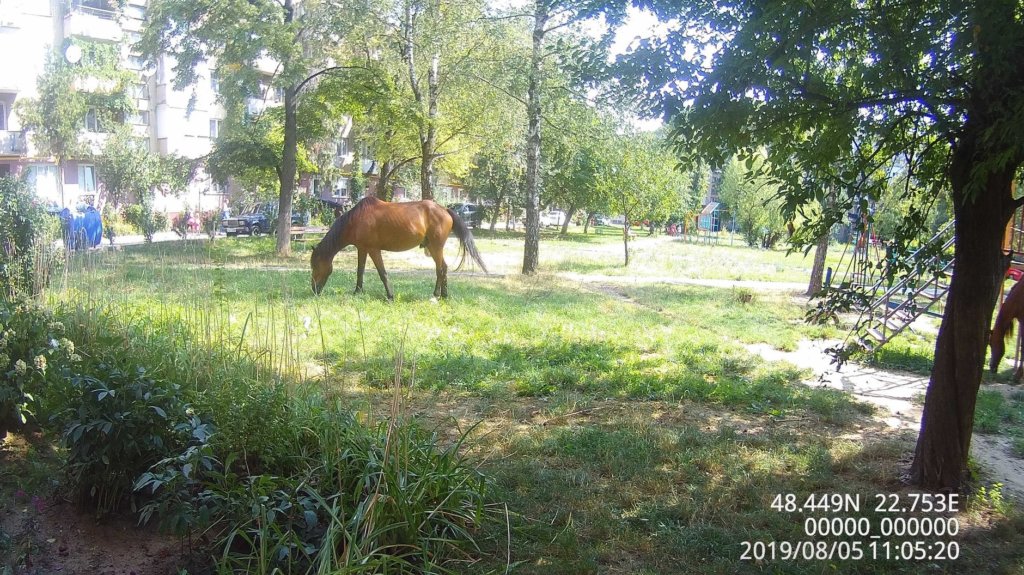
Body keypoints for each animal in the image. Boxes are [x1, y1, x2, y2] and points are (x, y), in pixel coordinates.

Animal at [307, 195, 487, 296]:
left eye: (315, 265)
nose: (314, 290)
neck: (356, 220)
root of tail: (445, 210)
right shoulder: (362, 249)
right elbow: (360, 271)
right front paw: (357, 292)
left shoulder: (373, 250)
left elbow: (382, 273)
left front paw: (390, 295)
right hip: (432, 247)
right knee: (442, 268)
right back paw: (442, 294)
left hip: (436, 248)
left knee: (441, 269)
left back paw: (438, 294)